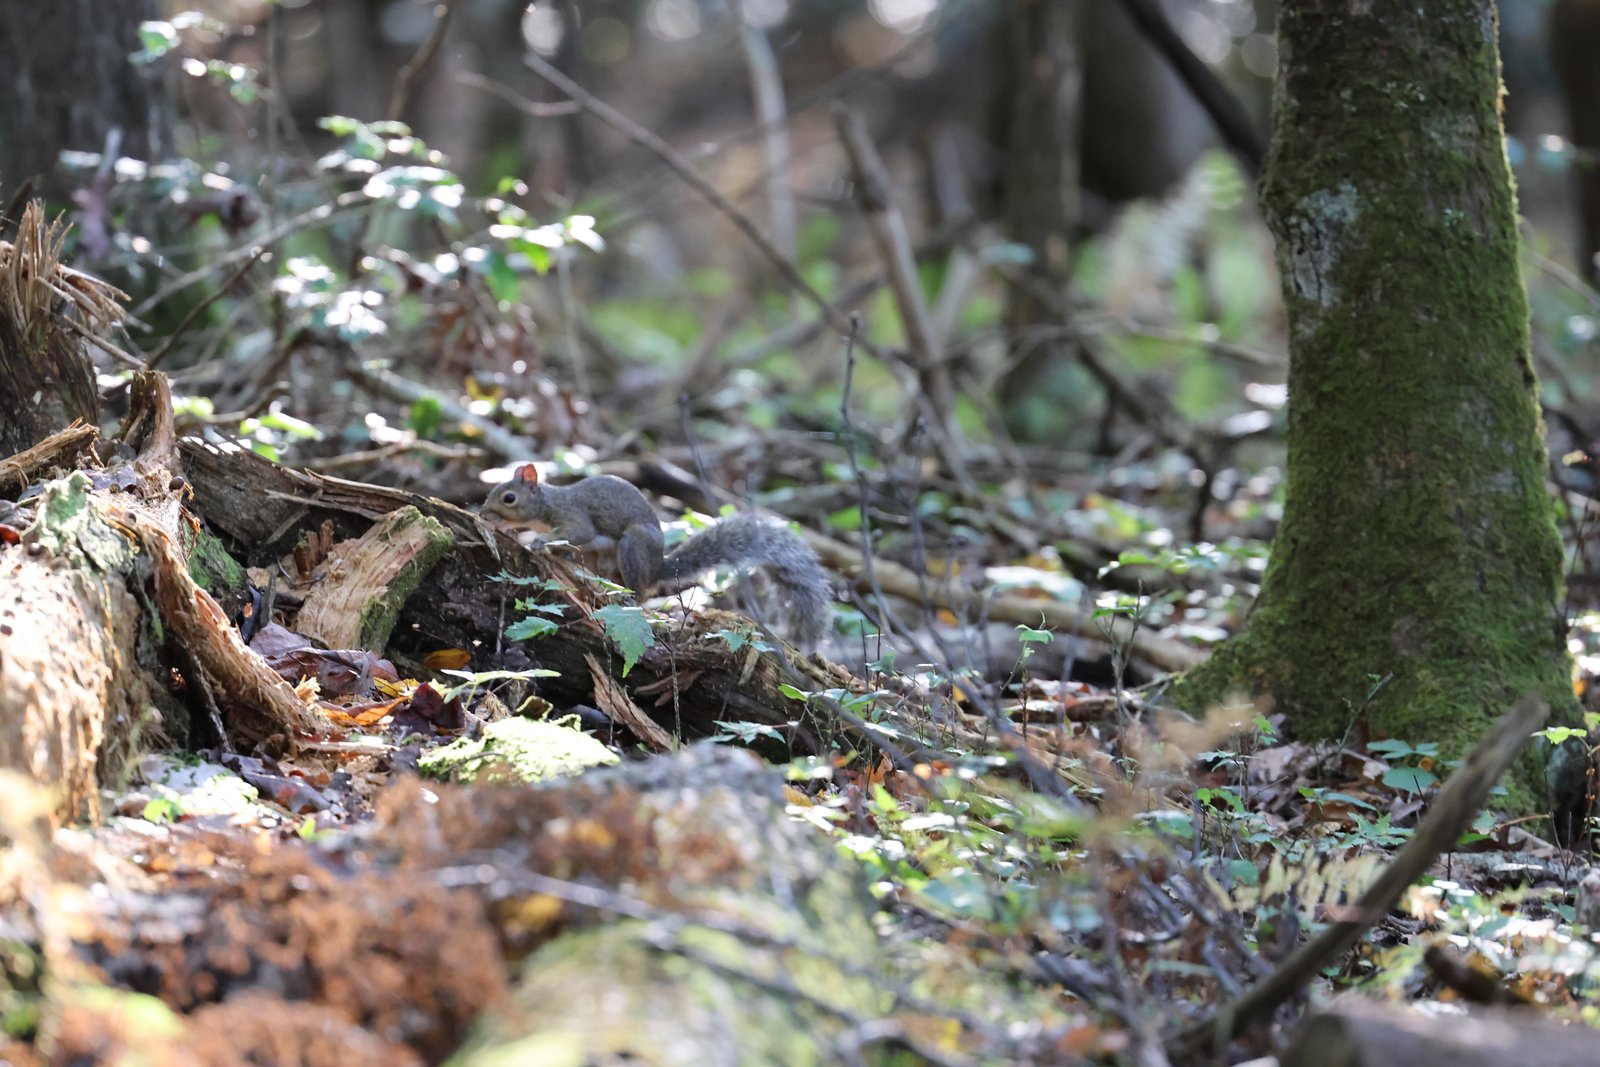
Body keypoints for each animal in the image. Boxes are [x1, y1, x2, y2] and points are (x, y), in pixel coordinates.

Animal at [480, 464, 830, 648]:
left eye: (509, 498)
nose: (483, 512)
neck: (548, 503)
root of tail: (656, 568)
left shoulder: (574, 517)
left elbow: (577, 533)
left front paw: (539, 540)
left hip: (632, 547)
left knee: (639, 592)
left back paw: (626, 596)